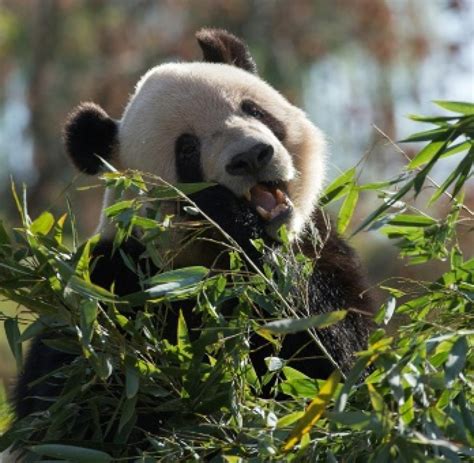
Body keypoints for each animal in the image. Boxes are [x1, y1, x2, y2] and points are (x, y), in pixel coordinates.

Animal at [9, 27, 374, 458]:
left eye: (254, 111)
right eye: (187, 149)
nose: (251, 157)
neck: (205, 266)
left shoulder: (319, 251)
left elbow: (332, 363)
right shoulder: (108, 286)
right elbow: (80, 411)